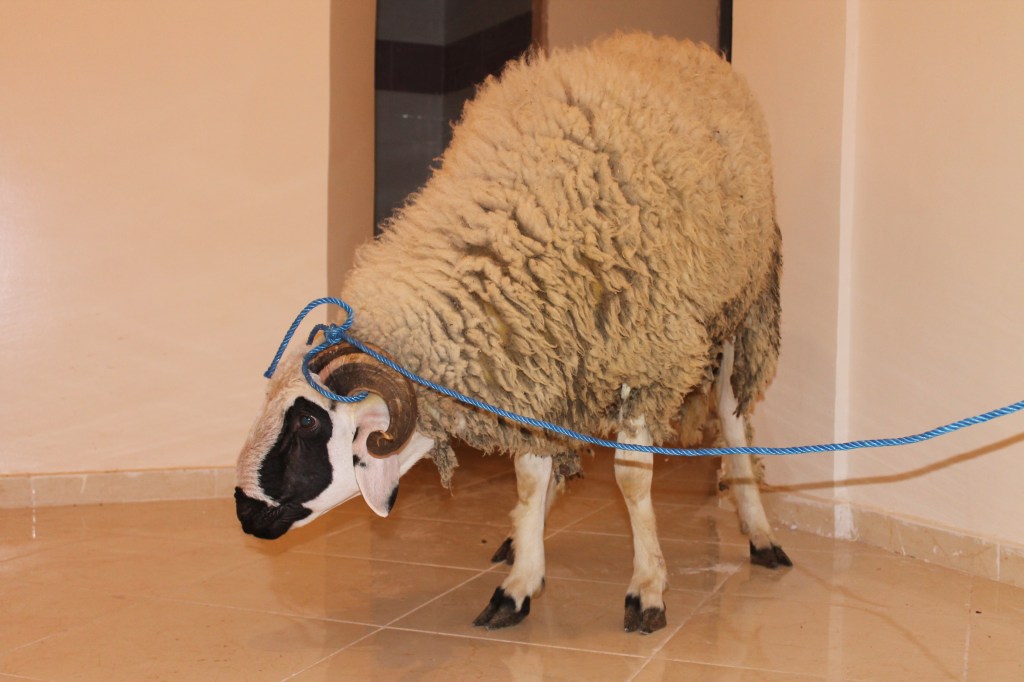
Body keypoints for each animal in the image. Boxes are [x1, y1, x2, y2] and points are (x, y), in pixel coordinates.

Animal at [234, 32, 788, 634]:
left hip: (739, 307)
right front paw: (521, 579)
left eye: (308, 422)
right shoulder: (533, 362)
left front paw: (647, 590)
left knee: (733, 417)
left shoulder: (647, 358)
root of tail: (668, 43)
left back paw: (758, 530)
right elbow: (528, 473)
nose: (241, 510)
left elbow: (631, 478)